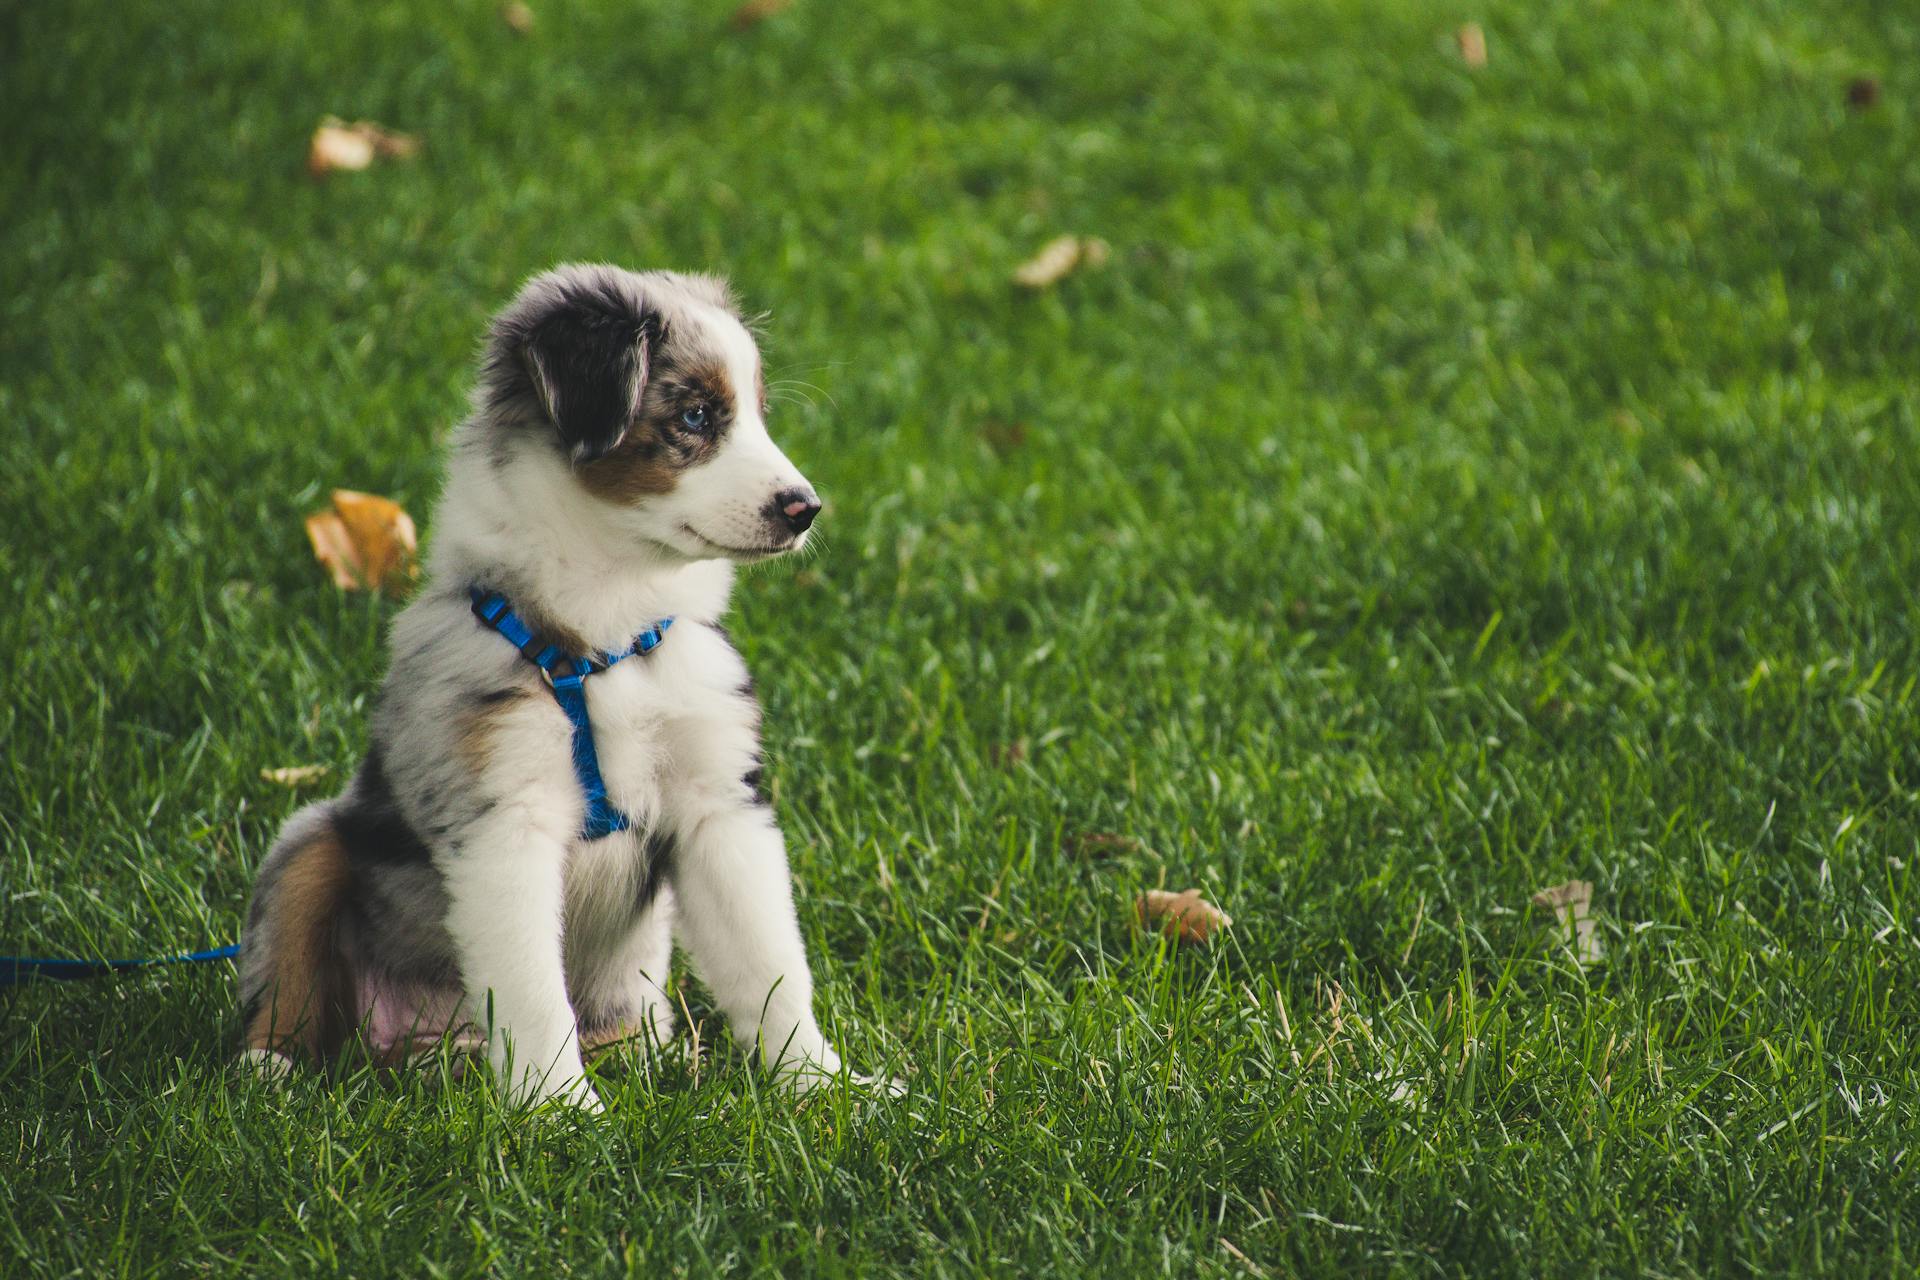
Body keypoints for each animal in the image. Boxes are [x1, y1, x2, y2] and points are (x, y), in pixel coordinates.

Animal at [234, 262, 883, 1113]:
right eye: (696, 415)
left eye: (757, 417)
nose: (805, 509)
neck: (607, 636)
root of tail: (424, 1044)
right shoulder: (503, 819)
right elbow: (533, 988)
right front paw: (560, 1112)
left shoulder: (720, 804)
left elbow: (770, 964)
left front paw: (826, 1088)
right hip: (312, 843)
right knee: (287, 970)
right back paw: (268, 1067)